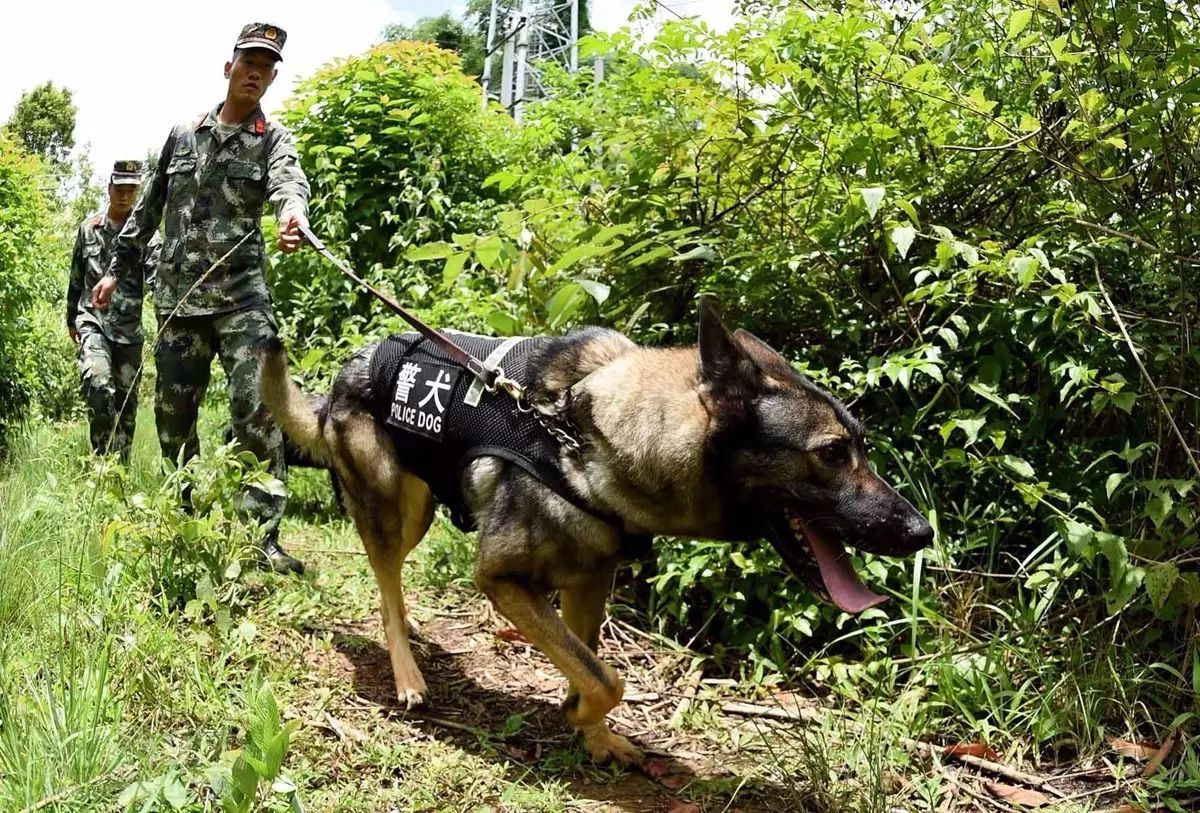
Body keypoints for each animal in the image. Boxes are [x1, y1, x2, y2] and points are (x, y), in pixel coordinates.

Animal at [260, 302, 936, 767]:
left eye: (862, 447)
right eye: (832, 454)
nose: (921, 531)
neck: (590, 435)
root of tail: (345, 373)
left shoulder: (589, 581)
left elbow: (590, 662)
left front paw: (593, 732)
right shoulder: (503, 579)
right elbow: (606, 676)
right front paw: (583, 710)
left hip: (421, 507)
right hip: (391, 513)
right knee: (387, 590)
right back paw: (407, 674)